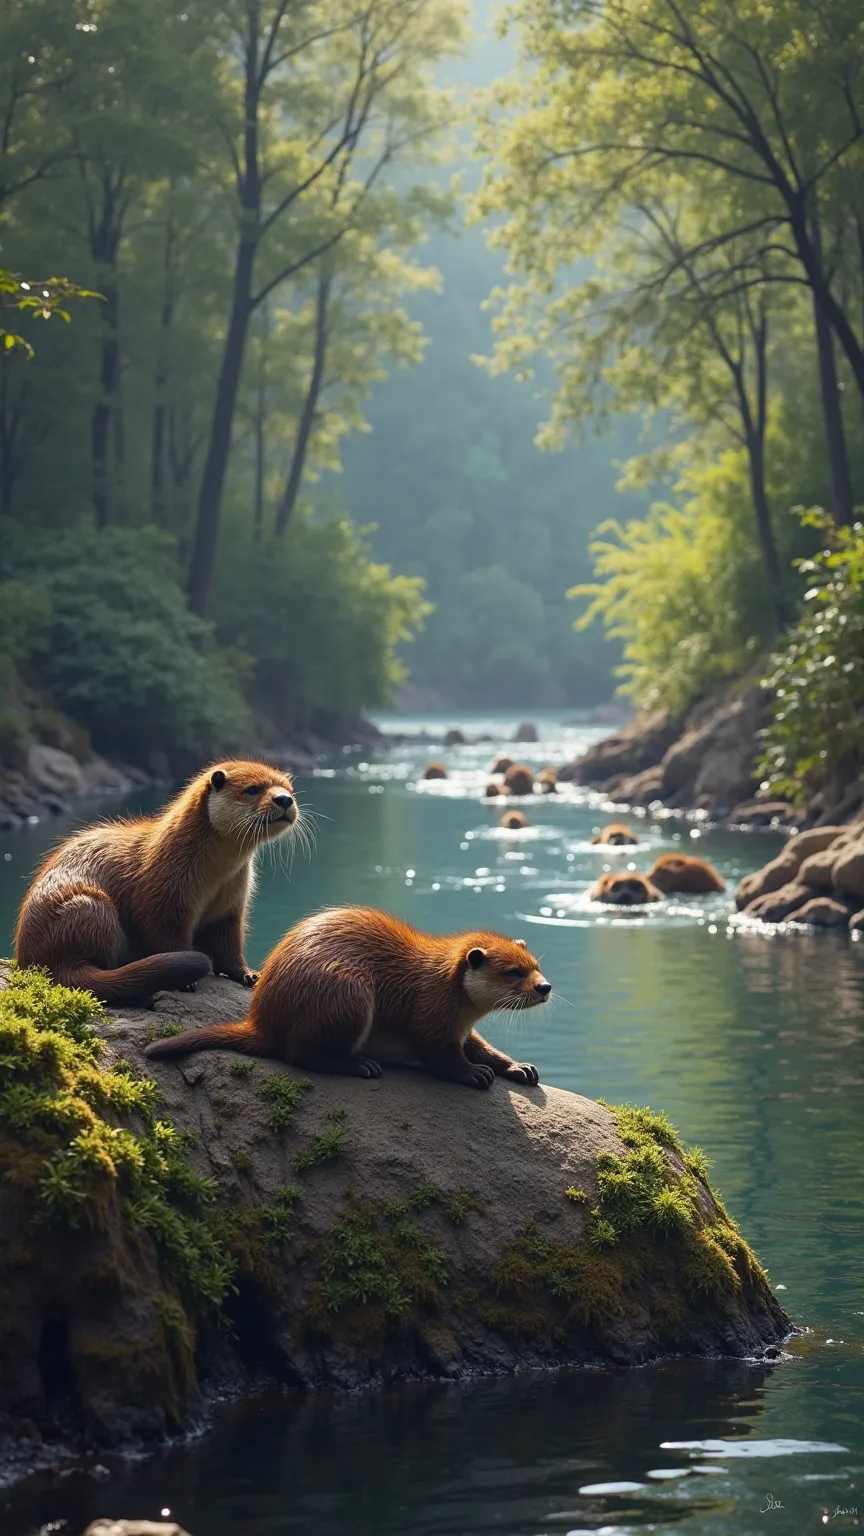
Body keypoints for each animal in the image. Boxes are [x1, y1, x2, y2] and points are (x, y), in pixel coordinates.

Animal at [141, 909, 544, 1093]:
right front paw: (474, 1074)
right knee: (300, 1054)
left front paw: (519, 1067)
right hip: (349, 991)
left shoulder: (461, 1029)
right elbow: (440, 1056)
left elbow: (485, 1049)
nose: (545, 987)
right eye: (513, 973)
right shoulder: (431, 1014)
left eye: (536, 965)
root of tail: (262, 1018)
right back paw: (360, 1065)